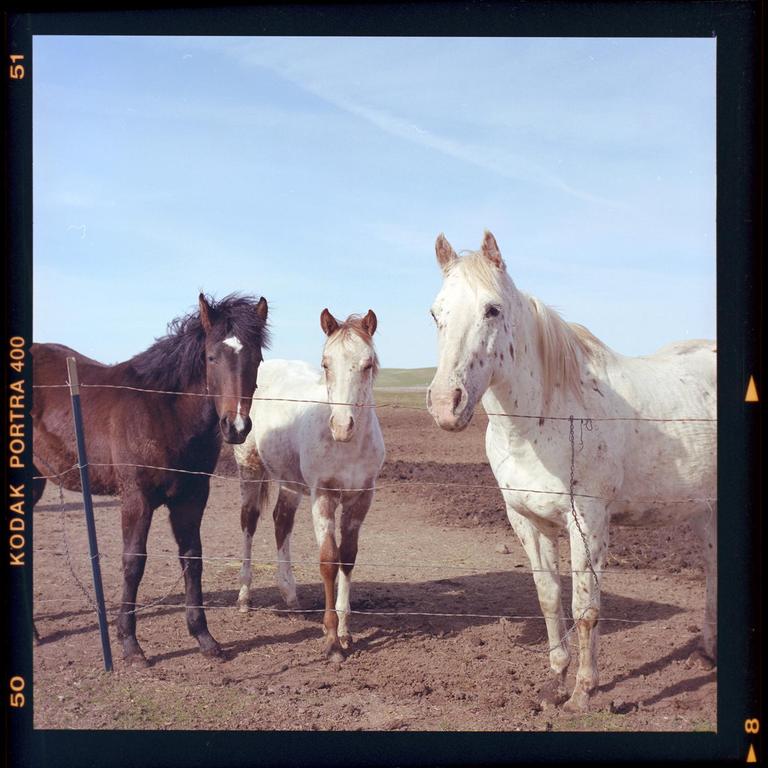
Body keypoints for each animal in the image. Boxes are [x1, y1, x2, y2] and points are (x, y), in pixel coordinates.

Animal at [32, 293, 269, 666]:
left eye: (256, 358)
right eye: (211, 357)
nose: (236, 427)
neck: (164, 411)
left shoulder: (191, 497)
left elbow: (192, 558)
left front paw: (204, 637)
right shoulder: (136, 498)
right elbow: (134, 562)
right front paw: (130, 644)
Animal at [233, 308, 385, 662]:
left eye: (367, 363)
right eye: (326, 363)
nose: (342, 426)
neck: (347, 448)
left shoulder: (361, 498)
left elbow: (348, 557)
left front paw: (345, 631)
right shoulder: (324, 495)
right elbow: (328, 560)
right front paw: (331, 641)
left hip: (290, 481)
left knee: (281, 523)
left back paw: (291, 597)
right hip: (250, 469)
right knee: (249, 523)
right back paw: (245, 596)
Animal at [426, 231, 716, 712]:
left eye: (493, 309)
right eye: (436, 313)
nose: (445, 404)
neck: (544, 419)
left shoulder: (589, 521)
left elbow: (586, 608)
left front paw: (583, 692)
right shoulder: (527, 520)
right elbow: (549, 599)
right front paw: (556, 682)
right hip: (704, 511)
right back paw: (708, 651)